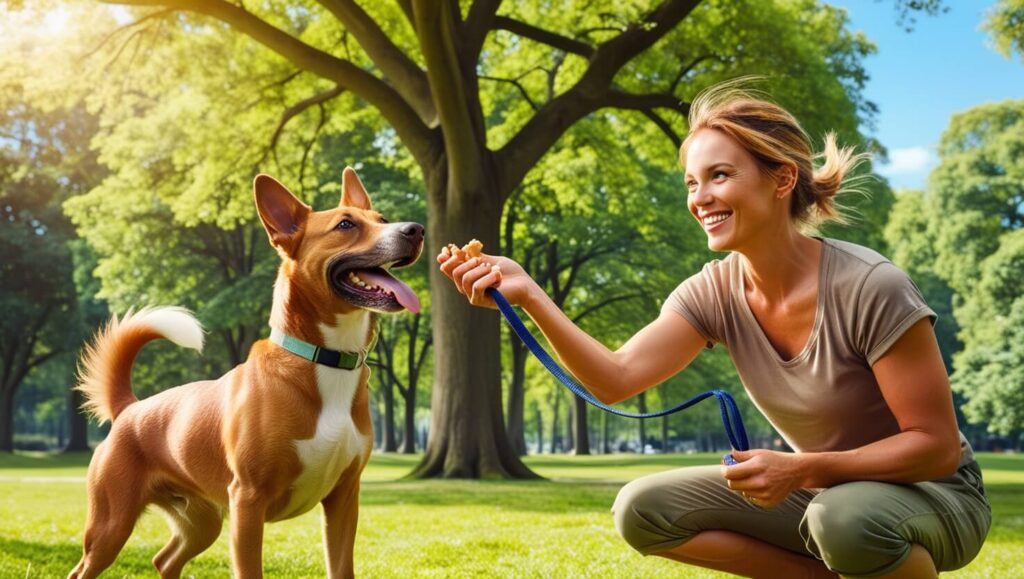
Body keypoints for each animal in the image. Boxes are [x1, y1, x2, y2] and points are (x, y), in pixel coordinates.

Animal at [70, 168, 423, 577]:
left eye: (382, 219)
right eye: (346, 224)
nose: (416, 229)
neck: (326, 361)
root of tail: (128, 408)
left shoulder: (344, 500)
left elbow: (341, 568)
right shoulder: (248, 502)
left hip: (202, 522)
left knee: (164, 559)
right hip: (110, 526)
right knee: (85, 569)